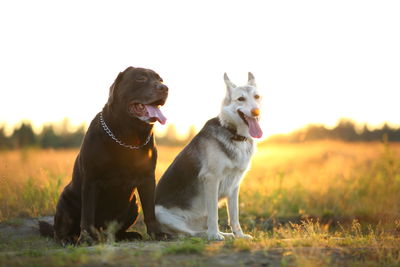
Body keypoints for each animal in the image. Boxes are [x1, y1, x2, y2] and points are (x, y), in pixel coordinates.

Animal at [38, 67, 167, 247]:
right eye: (140, 78)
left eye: (160, 80)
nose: (164, 88)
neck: (128, 136)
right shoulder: (91, 179)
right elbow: (87, 215)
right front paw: (87, 239)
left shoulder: (147, 178)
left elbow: (150, 211)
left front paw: (157, 234)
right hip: (65, 200)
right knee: (60, 230)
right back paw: (68, 238)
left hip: (133, 205)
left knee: (115, 231)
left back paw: (128, 235)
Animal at [154, 72, 262, 242]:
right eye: (241, 99)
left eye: (257, 97)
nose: (256, 112)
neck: (233, 133)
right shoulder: (212, 179)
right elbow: (214, 214)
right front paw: (214, 235)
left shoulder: (234, 185)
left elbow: (234, 215)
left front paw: (239, 235)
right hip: (160, 213)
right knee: (190, 234)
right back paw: (209, 234)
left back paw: (226, 234)